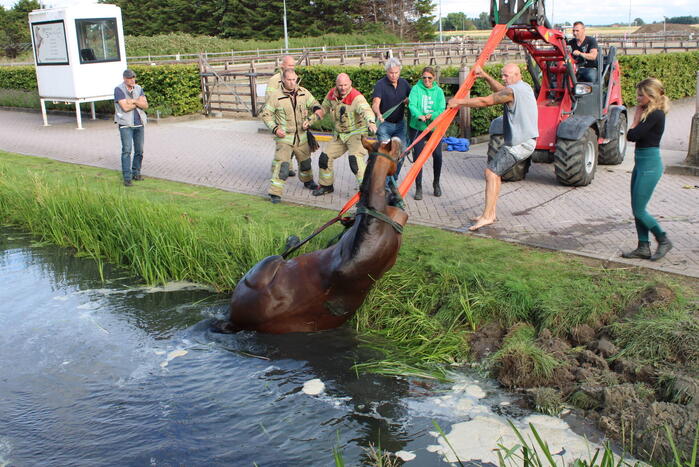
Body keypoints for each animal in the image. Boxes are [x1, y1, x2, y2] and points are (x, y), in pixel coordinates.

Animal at [225, 136, 408, 334]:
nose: (400, 140)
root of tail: (234, 321)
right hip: (268, 261)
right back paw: (292, 240)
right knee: (284, 252)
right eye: (394, 148)